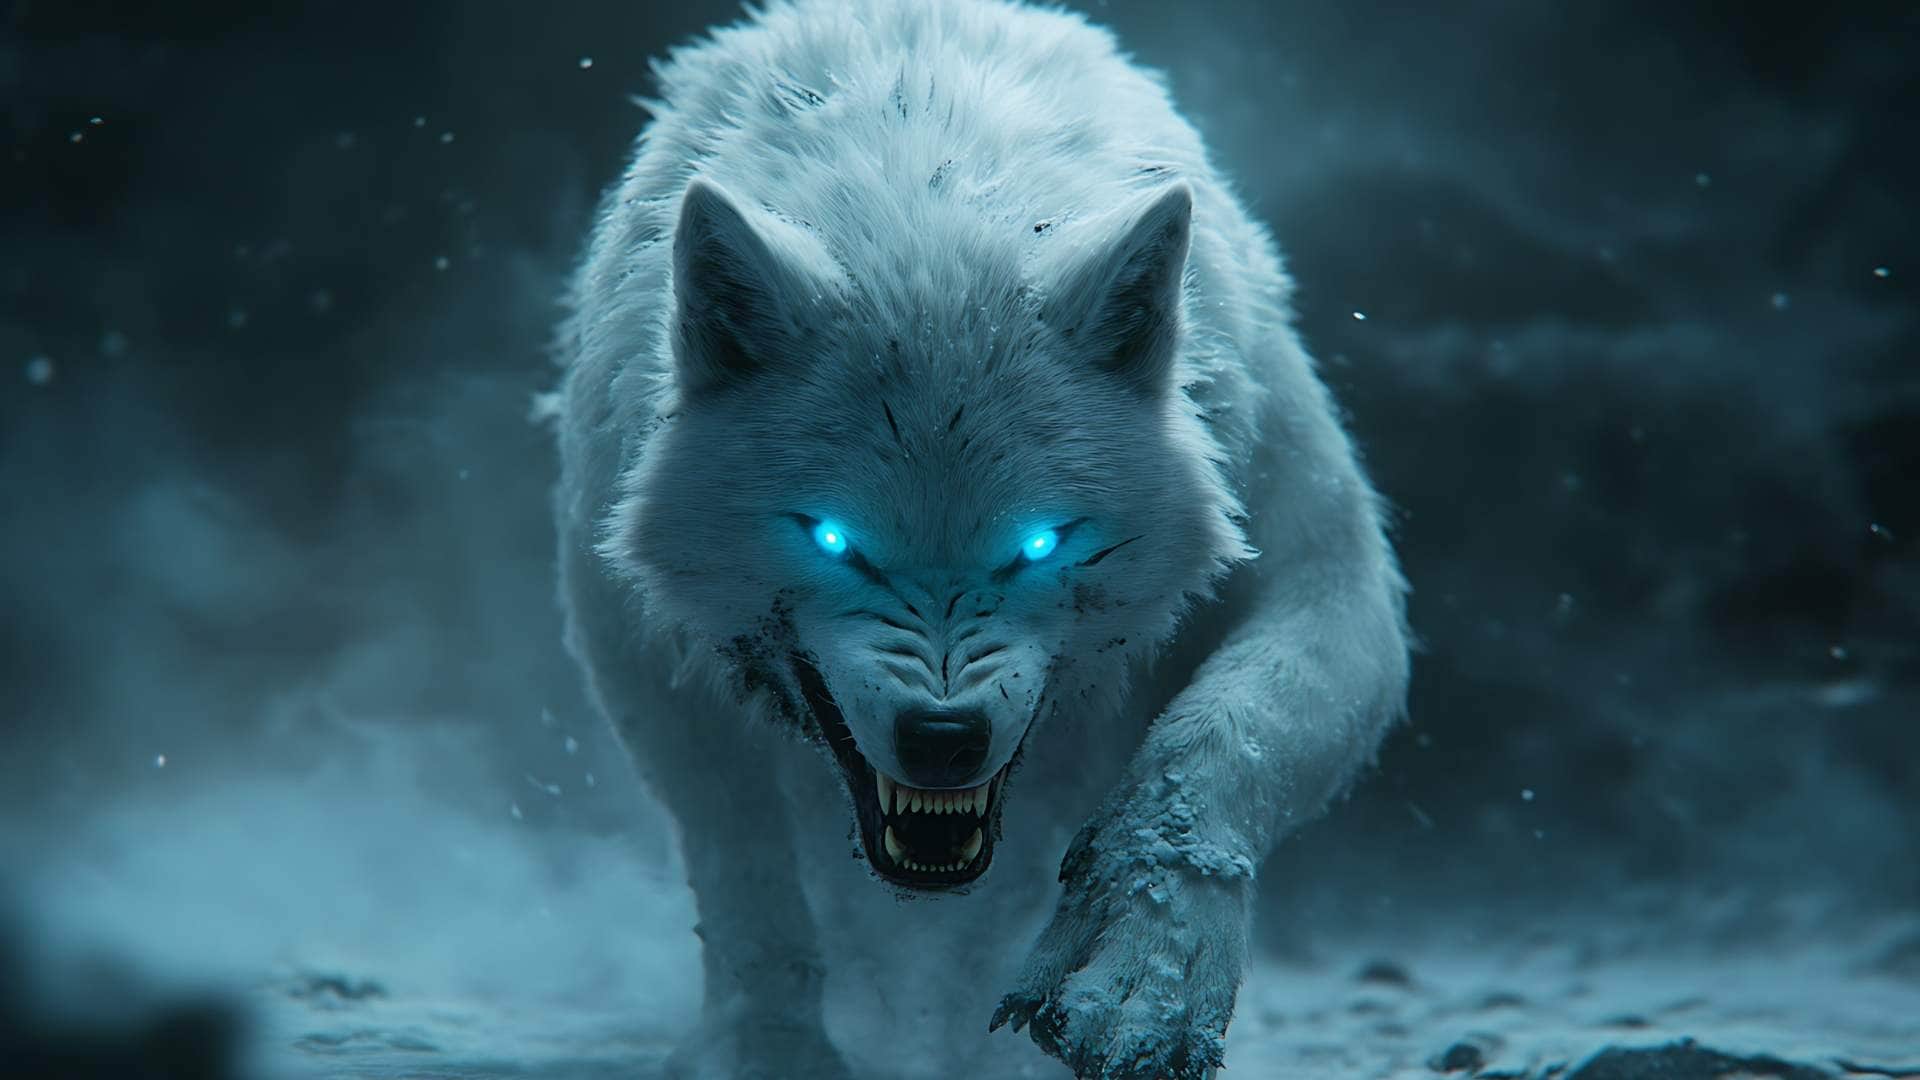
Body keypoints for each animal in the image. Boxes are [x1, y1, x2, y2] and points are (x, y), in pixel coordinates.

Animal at [551, 1, 1409, 1076]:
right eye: (835, 540)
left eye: (1038, 546)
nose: (945, 738)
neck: (930, 181)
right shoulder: (632, 643)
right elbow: (742, 869)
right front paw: (768, 1046)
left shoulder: (1322, 561)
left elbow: (1217, 745)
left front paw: (1143, 986)